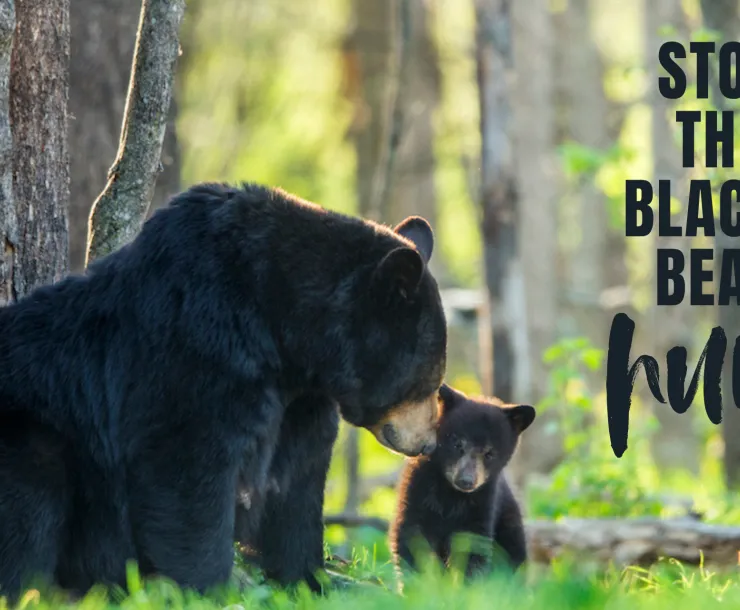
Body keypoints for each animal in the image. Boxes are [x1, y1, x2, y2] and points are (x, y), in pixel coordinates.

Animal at [0, 182, 447, 599]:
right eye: (430, 379)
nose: (428, 442)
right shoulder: (197, 344)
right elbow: (187, 471)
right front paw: (208, 589)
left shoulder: (300, 399)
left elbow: (298, 485)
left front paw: (307, 581)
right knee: (31, 501)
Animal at [390, 384, 535, 580]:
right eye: (457, 443)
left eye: (490, 453)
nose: (466, 480)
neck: (451, 495)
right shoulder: (416, 491)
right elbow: (411, 536)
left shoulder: (483, 504)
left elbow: (474, 547)